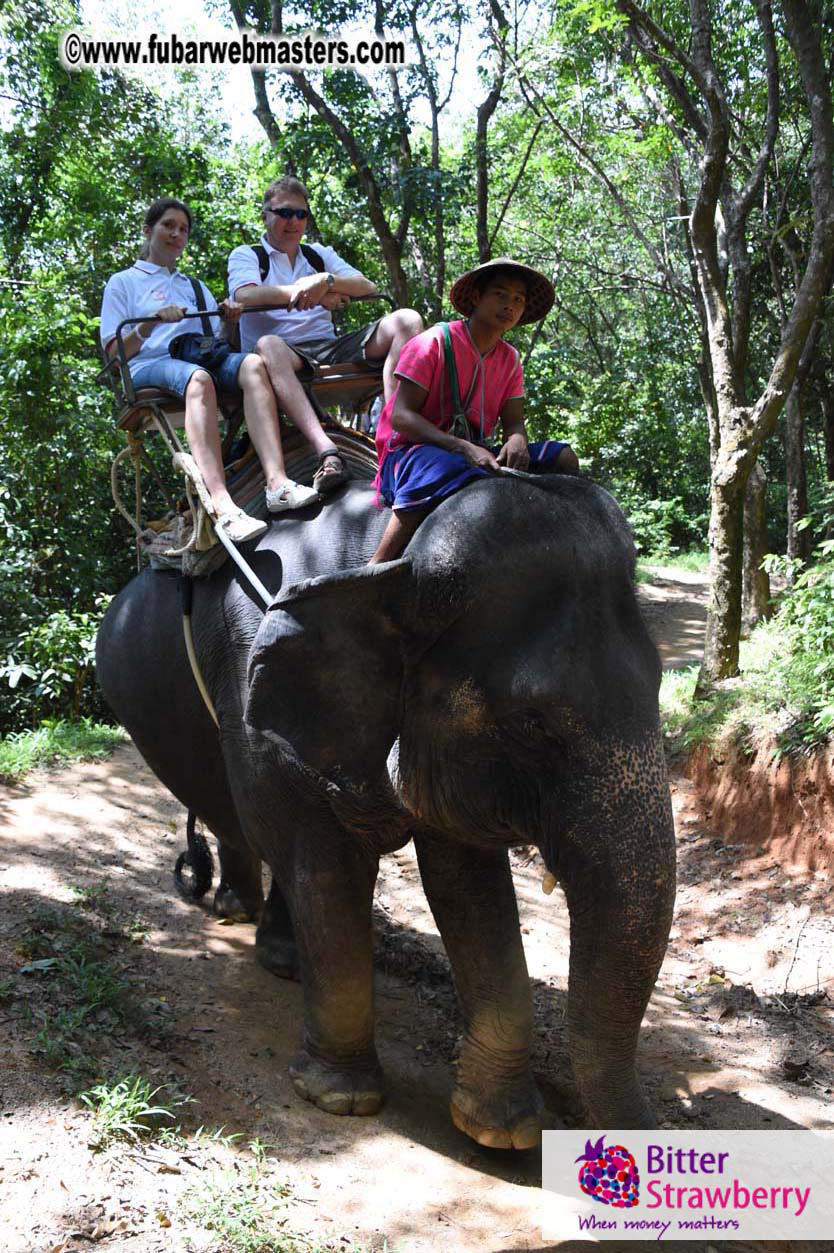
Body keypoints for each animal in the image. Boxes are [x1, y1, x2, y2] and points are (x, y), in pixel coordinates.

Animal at [96, 469, 676, 1146]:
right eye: (533, 724)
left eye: (660, 683)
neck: (391, 559)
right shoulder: (258, 689)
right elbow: (327, 867)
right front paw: (341, 1098)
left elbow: (467, 886)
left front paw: (500, 1133)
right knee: (239, 819)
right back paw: (236, 915)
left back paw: (282, 957)